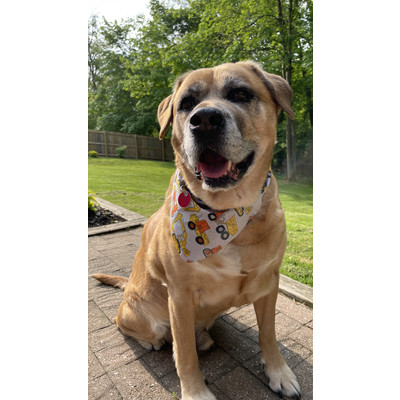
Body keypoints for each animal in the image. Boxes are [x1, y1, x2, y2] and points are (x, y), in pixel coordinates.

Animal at [93, 61, 300, 398]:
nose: (203, 121)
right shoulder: (179, 296)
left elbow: (268, 334)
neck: (226, 215)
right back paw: (153, 341)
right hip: (140, 313)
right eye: (186, 103)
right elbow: (184, 353)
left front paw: (278, 372)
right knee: (134, 326)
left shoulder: (269, 282)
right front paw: (195, 391)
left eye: (241, 93)